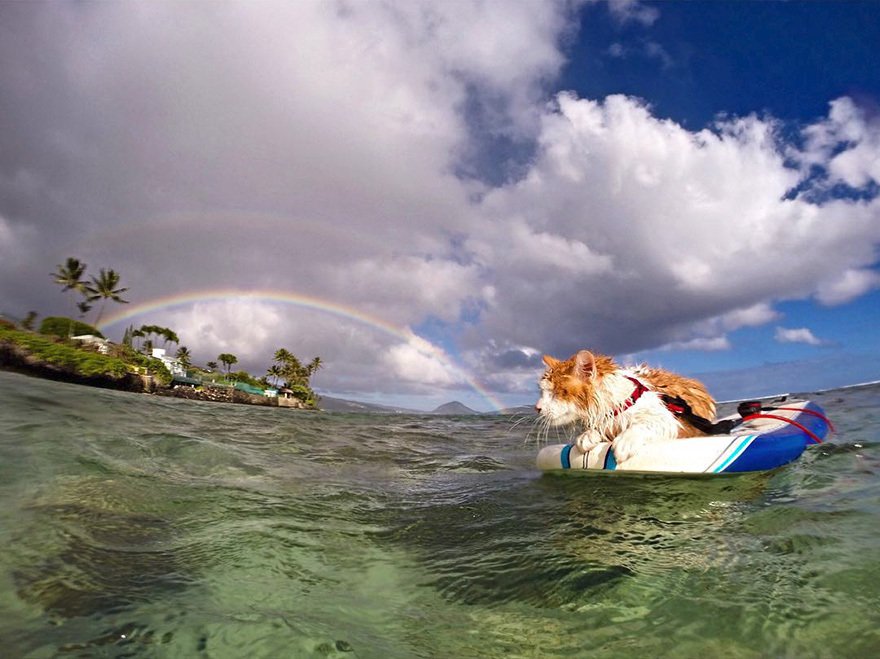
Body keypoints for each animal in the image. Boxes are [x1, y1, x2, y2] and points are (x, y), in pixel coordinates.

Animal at [536, 350, 716, 464]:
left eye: (557, 392)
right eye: (543, 391)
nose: (537, 408)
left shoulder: (668, 420)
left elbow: (642, 425)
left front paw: (626, 440)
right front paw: (587, 435)